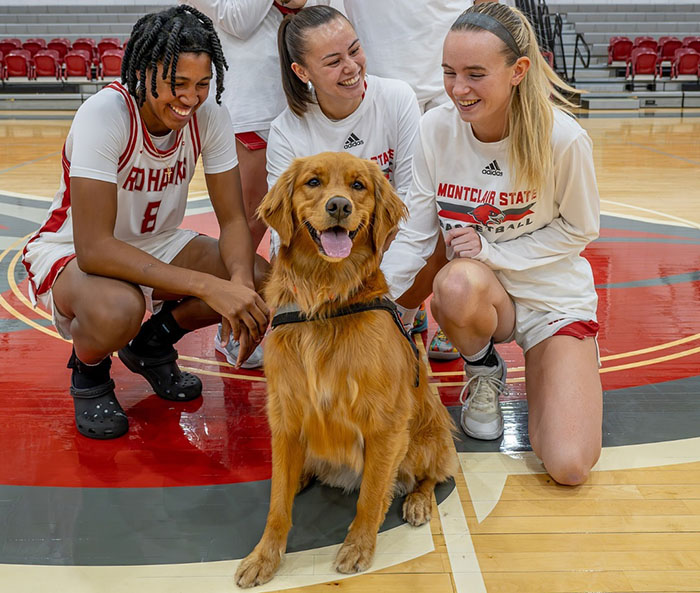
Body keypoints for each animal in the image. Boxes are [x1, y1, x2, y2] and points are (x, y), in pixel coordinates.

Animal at [232, 153, 456, 588]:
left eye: (358, 186)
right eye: (313, 182)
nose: (339, 206)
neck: (326, 300)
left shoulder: (385, 423)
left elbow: (371, 495)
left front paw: (358, 547)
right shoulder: (286, 416)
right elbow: (277, 503)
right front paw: (264, 556)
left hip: (425, 438)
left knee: (433, 474)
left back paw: (418, 501)